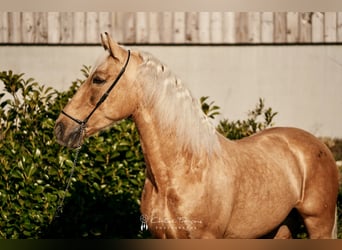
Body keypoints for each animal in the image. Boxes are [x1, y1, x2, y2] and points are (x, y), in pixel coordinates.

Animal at [54, 32, 338, 238]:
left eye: (98, 79)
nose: (61, 128)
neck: (183, 170)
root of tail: (319, 146)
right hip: (281, 227)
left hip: (319, 225)